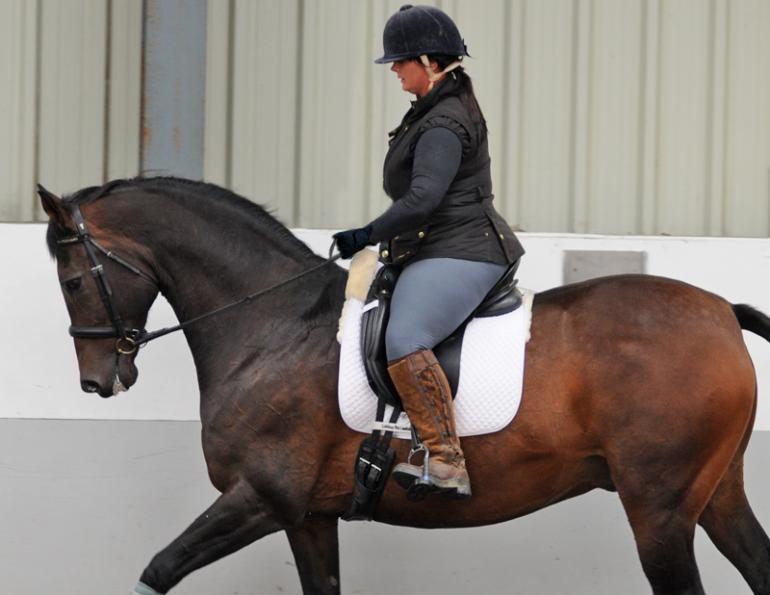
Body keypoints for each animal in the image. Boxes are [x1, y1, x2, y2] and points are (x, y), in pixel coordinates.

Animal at [39, 177, 770, 595]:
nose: (97, 380)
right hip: (714, 495)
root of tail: (720, 311)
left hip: (660, 509)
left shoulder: (262, 494)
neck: (272, 325)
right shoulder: (307, 516)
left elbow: (159, 568)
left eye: (72, 279)